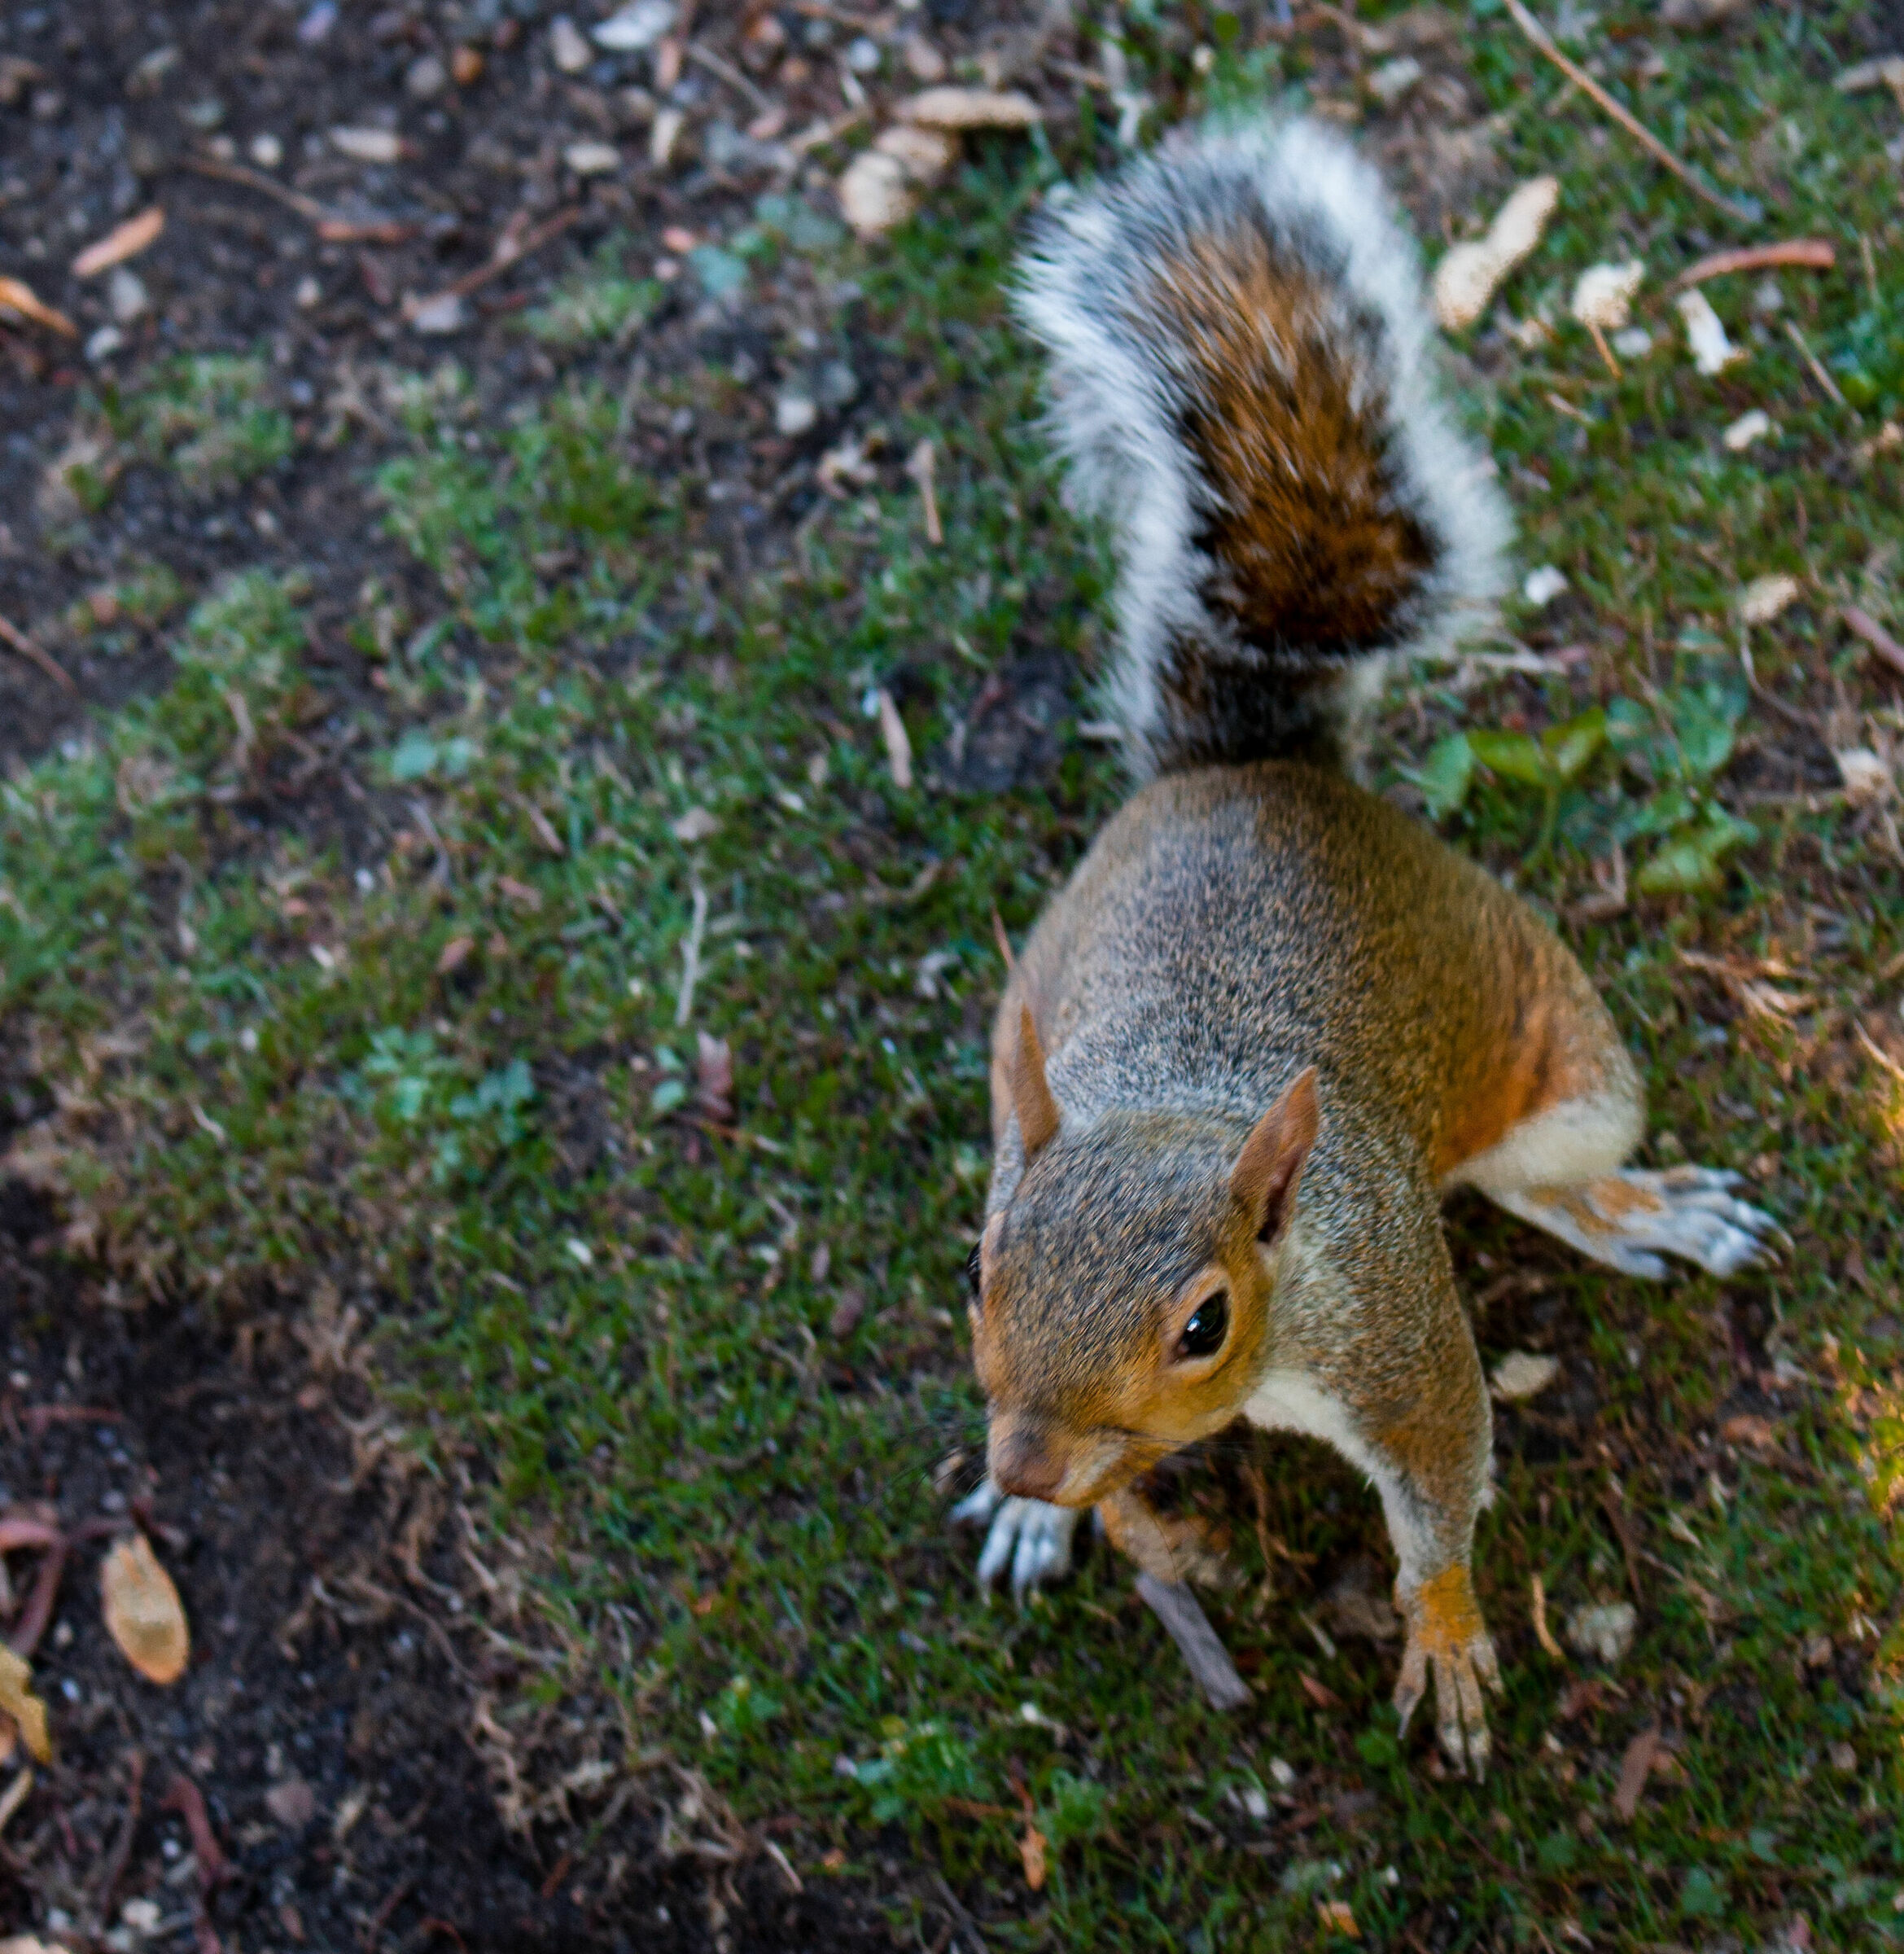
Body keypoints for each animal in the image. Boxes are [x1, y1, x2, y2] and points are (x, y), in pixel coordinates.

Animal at [953, 117, 1775, 1773]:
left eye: (1200, 1322)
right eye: (980, 1268)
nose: (1021, 1467)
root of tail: (1260, 769)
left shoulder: (1393, 1336)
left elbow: (1441, 1488)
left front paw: (1445, 1641)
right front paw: (1098, 1525)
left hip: (1569, 1062)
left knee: (1542, 1181)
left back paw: (1645, 1208)